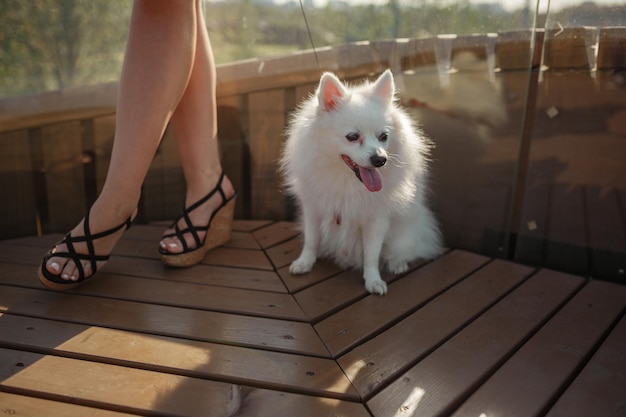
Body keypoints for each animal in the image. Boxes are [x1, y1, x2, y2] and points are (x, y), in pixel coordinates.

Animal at [280, 70, 442, 294]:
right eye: (352, 136)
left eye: (383, 136)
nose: (380, 159)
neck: (347, 180)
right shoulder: (313, 208)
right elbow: (311, 240)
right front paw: (305, 262)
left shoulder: (376, 219)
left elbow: (372, 255)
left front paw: (373, 281)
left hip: (404, 232)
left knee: (406, 247)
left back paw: (398, 263)